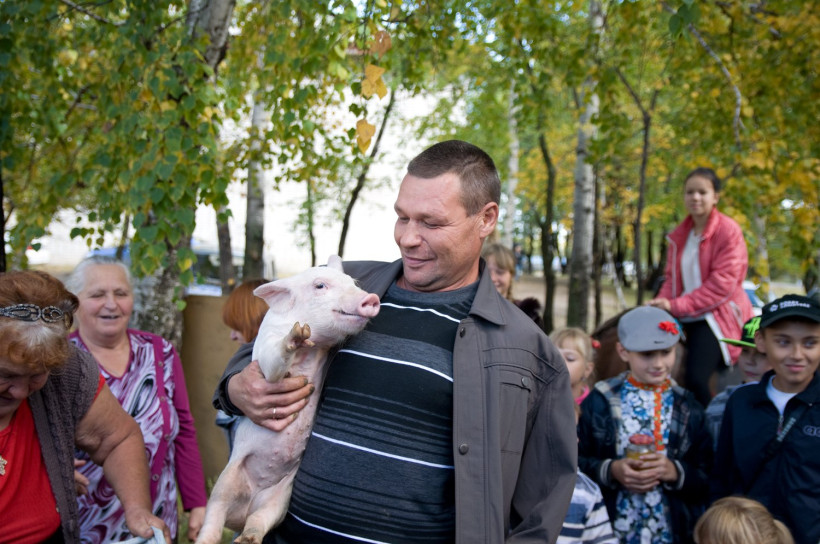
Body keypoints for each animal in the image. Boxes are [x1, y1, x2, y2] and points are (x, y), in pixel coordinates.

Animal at [195, 255, 380, 544]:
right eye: (320, 285)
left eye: (352, 282)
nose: (370, 297)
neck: (314, 350)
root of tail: (245, 507)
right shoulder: (266, 353)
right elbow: (274, 362)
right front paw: (299, 333)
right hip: (226, 482)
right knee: (214, 515)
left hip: (280, 498)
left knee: (258, 520)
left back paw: (247, 539)